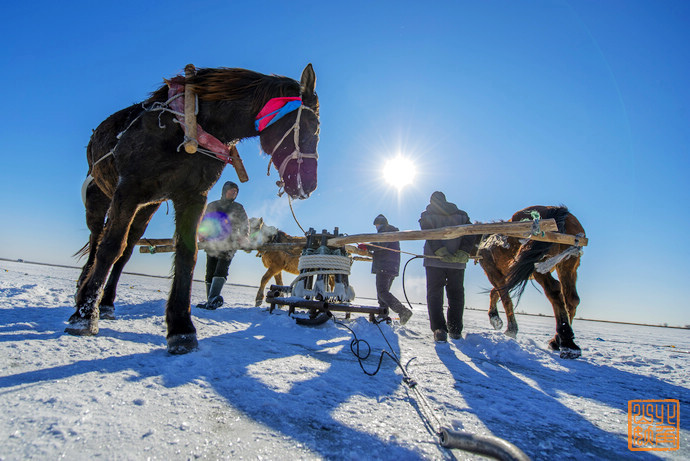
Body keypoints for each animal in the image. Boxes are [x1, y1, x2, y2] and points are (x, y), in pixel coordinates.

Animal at [70, 64, 320, 352]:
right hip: (101, 199)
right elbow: (110, 247)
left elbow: (186, 255)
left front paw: (181, 328)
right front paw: (85, 315)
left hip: (147, 207)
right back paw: (83, 292)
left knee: (126, 250)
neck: (187, 125)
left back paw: (107, 302)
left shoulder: (192, 196)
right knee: (98, 240)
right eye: (312, 127)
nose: (310, 185)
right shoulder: (128, 188)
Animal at [476, 206, 584, 360]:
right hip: (568, 263)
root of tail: (555, 209)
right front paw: (496, 319)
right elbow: (496, 292)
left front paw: (507, 327)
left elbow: (504, 295)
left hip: (538, 264)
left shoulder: (492, 271)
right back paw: (557, 340)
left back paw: (567, 342)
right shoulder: (507, 274)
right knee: (571, 299)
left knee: (555, 291)